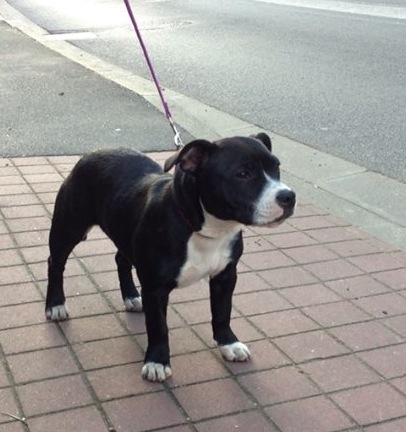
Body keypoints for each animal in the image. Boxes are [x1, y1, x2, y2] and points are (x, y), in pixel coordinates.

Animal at [45, 133, 295, 382]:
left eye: (277, 167)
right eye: (243, 174)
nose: (288, 196)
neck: (204, 228)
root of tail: (93, 153)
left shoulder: (225, 276)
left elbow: (223, 311)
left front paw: (229, 343)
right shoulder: (155, 288)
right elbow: (158, 327)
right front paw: (157, 361)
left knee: (121, 260)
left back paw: (131, 296)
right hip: (68, 227)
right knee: (55, 263)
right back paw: (55, 305)